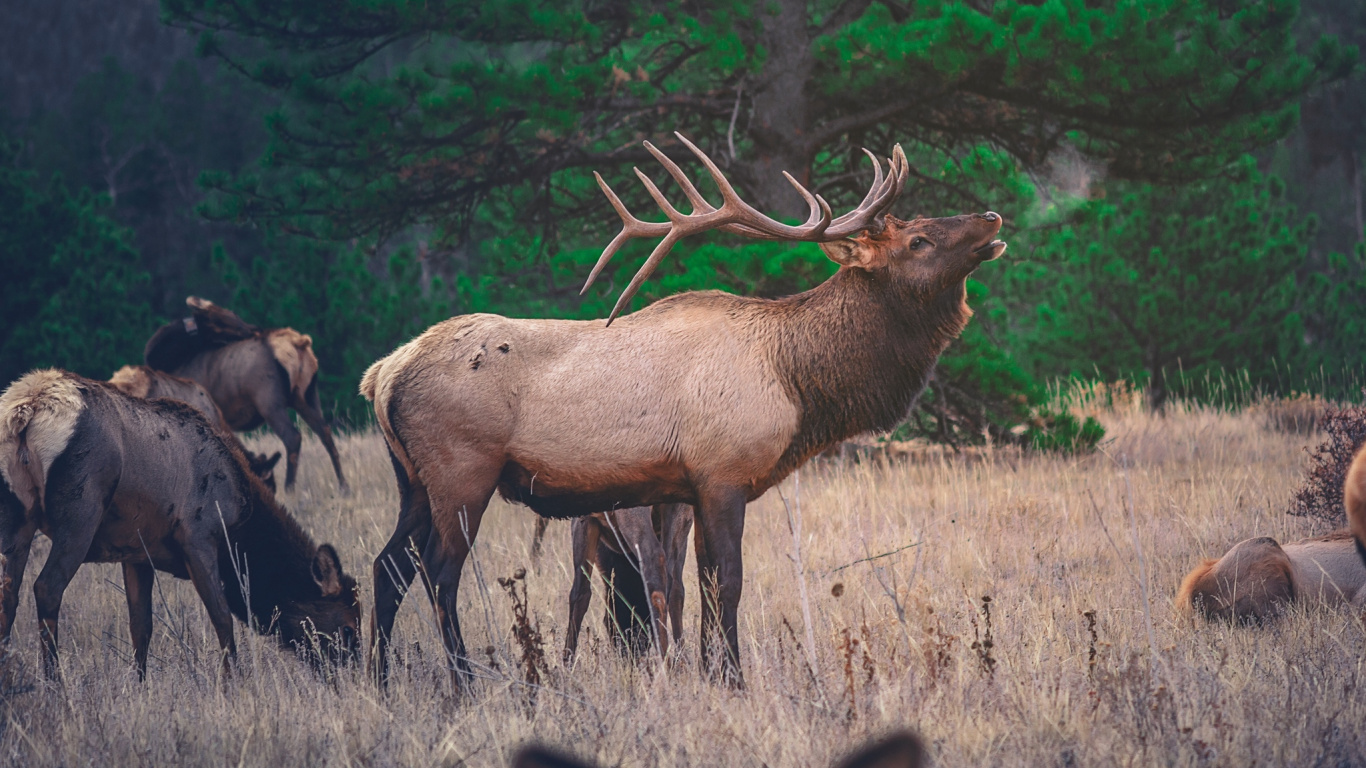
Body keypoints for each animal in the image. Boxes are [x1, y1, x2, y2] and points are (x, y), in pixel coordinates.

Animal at [143, 297, 349, 493]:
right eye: (223, 317)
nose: (254, 329)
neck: (170, 359)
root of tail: (300, 344)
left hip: (268, 399)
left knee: (293, 437)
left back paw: (290, 489)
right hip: (307, 395)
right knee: (325, 432)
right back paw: (343, 487)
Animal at [563, 503, 692, 665]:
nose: (633, 652)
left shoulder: (582, 519)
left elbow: (579, 594)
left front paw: (567, 664)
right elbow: (677, 591)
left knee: (654, 559)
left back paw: (664, 663)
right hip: (680, 513)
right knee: (670, 582)